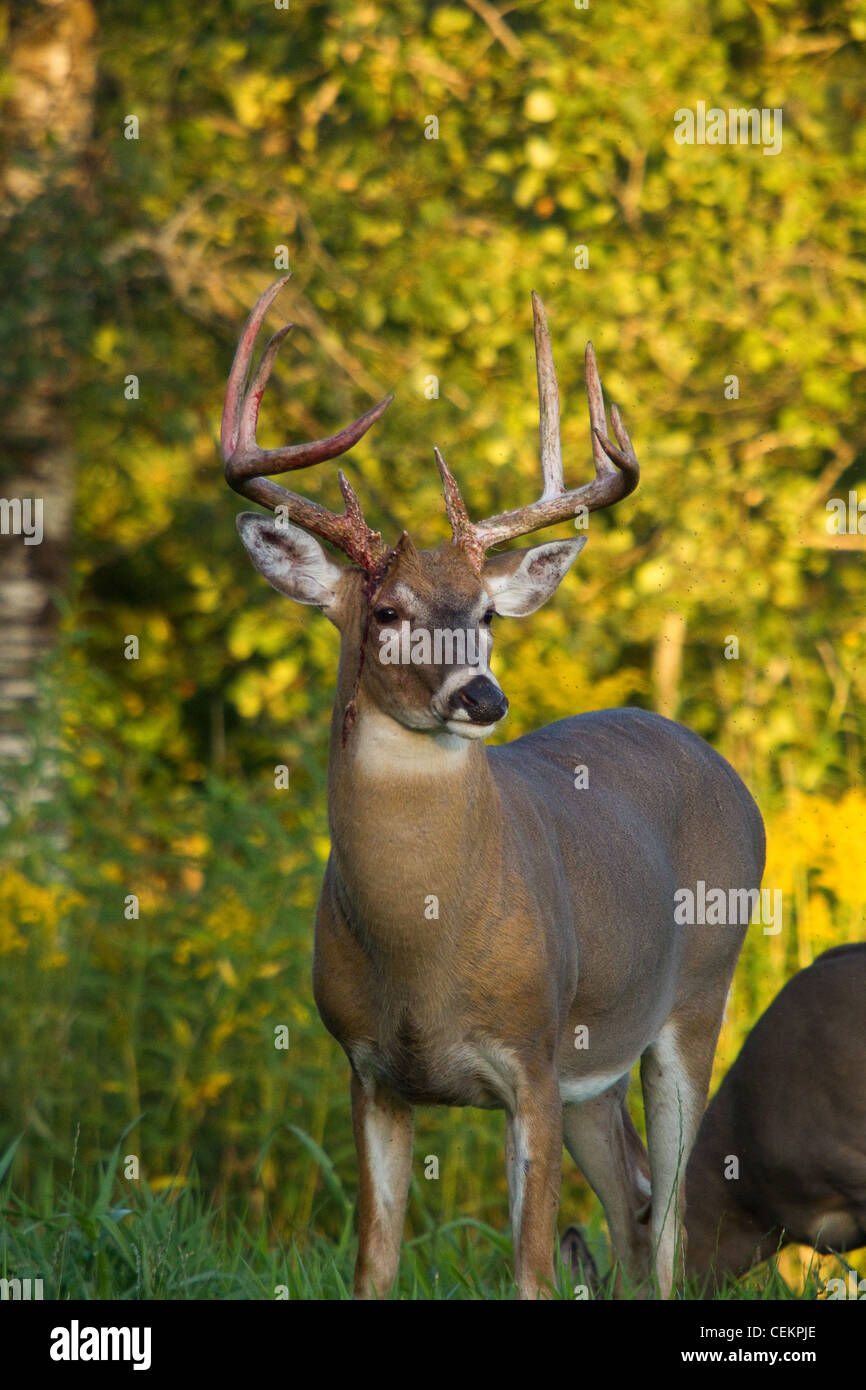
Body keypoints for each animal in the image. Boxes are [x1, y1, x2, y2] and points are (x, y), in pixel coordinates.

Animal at [218, 273, 767, 1301]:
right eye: (387, 612)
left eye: (483, 614)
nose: (482, 695)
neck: (425, 944)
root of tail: (718, 763)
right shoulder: (368, 1070)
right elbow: (375, 1264)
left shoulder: (533, 1058)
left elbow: (532, 1272)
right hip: (599, 1064)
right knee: (634, 1209)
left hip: (696, 993)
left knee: (670, 1220)